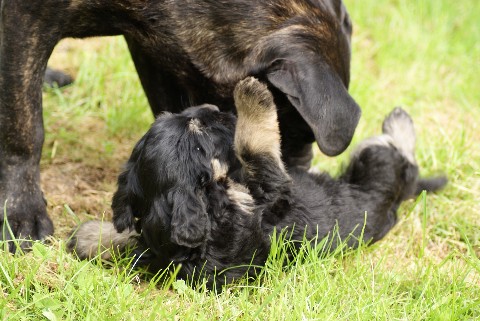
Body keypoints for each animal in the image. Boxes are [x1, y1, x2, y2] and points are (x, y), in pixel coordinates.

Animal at [0, 0, 360, 249]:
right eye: (296, 131)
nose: (297, 179)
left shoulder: (153, 47)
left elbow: (167, 107)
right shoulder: (25, 20)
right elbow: (23, 125)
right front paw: (21, 212)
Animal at [67, 77, 446, 288]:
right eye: (201, 129)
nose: (211, 106)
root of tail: (396, 204)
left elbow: (136, 237)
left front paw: (88, 236)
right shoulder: (271, 190)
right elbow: (255, 146)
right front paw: (253, 95)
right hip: (375, 164)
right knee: (399, 157)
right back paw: (399, 120)